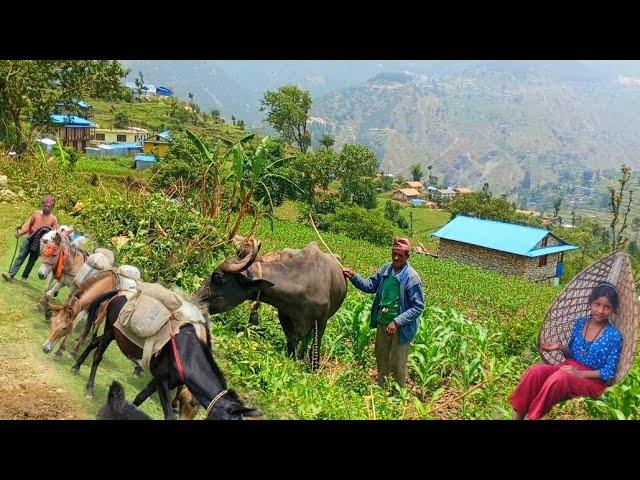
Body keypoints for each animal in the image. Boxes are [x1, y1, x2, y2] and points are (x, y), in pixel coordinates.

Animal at [70, 288, 260, 420]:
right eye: (191, 403)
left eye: (196, 406)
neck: (187, 355)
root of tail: (121, 292)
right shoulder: (162, 380)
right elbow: (168, 414)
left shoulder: (161, 379)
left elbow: (140, 397)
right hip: (110, 329)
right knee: (97, 356)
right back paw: (89, 389)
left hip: (115, 335)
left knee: (94, 342)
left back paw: (76, 365)